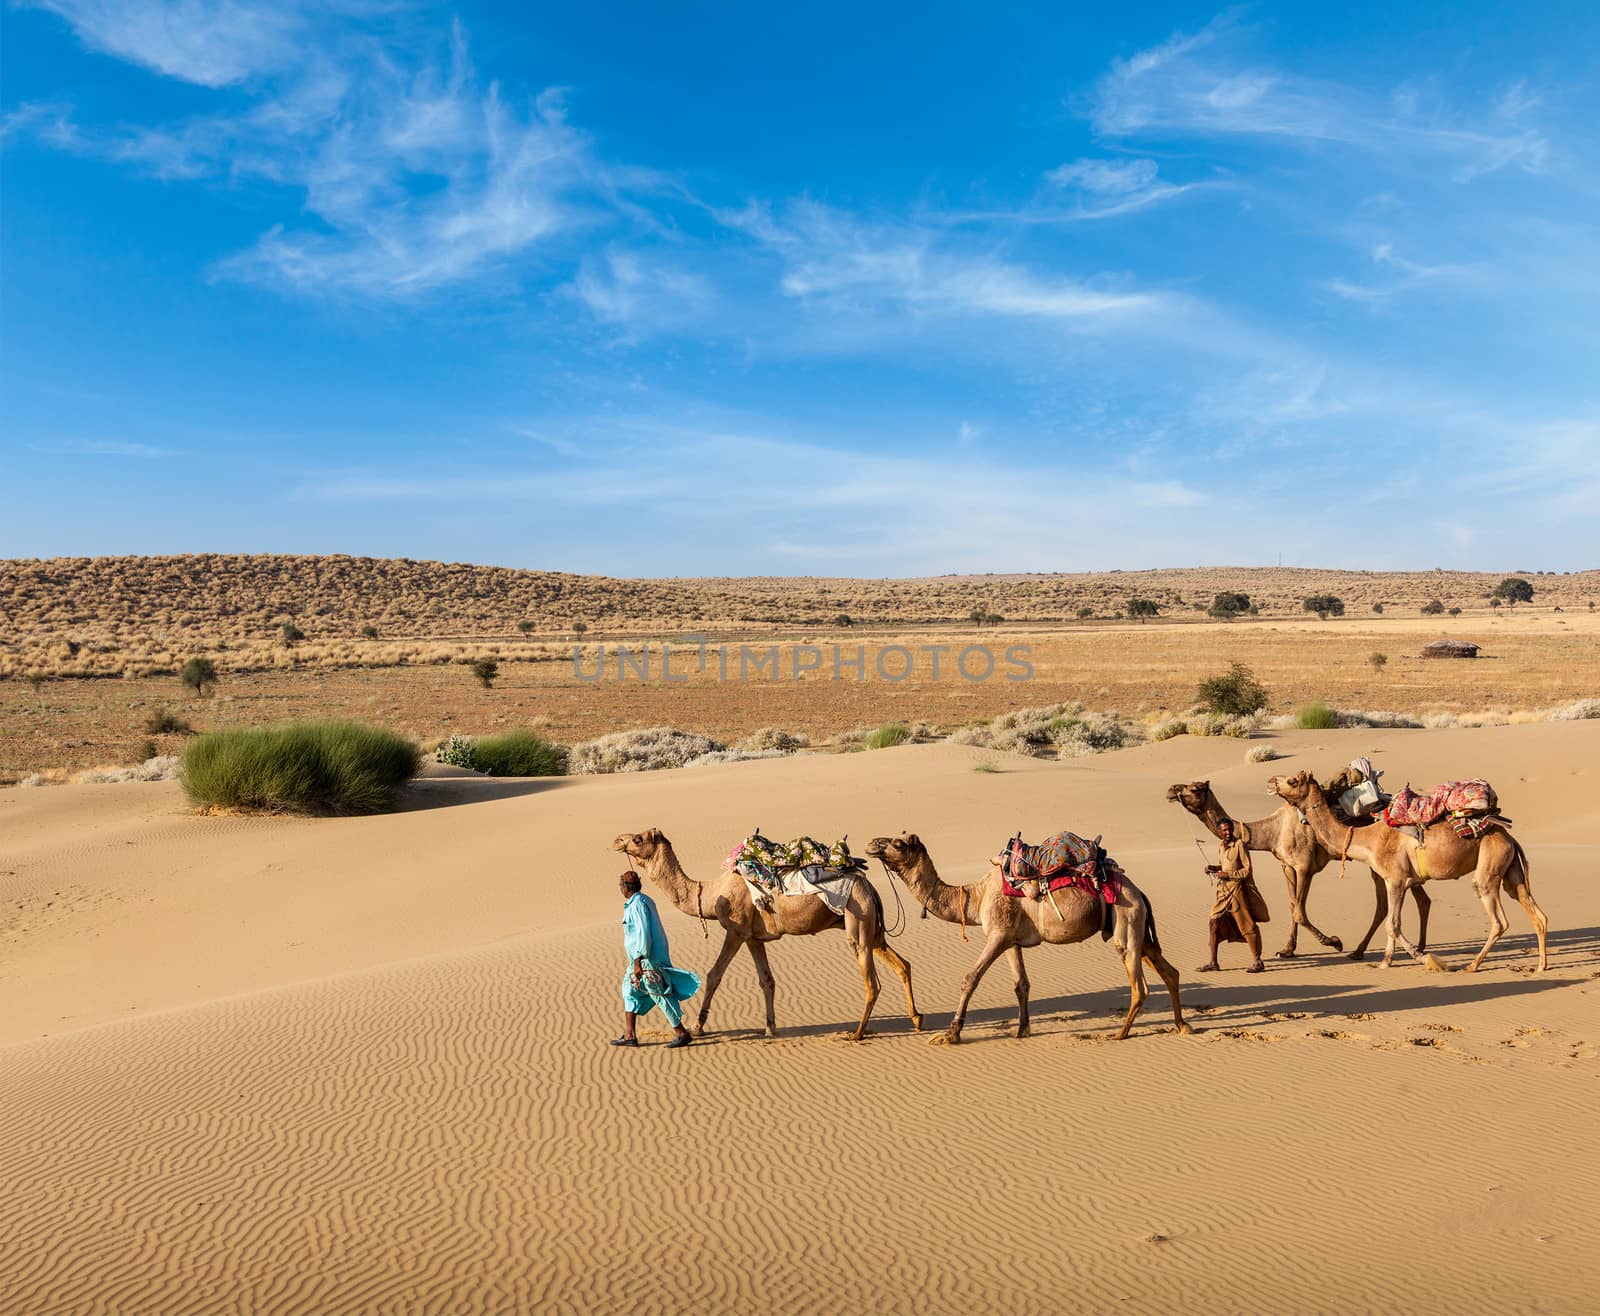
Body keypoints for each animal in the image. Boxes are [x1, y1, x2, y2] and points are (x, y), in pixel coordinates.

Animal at [608, 832, 921, 1043]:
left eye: (638, 839)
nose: (617, 840)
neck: (710, 893)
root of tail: (868, 886)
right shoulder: (754, 937)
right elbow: (767, 980)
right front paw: (770, 1028)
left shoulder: (735, 931)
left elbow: (714, 975)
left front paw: (698, 1027)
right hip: (871, 928)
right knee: (902, 964)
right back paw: (916, 1020)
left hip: (858, 919)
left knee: (872, 981)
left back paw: (857, 1033)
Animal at [864, 838, 1190, 1043]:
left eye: (897, 843)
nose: (871, 844)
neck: (976, 897)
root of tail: (1139, 892)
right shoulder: (1011, 940)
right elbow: (1021, 984)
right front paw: (1022, 1030)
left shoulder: (997, 934)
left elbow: (970, 978)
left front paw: (950, 1034)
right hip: (1139, 929)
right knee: (1169, 972)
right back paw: (1182, 1025)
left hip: (1126, 919)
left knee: (1140, 985)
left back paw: (1120, 1033)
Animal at [1158, 778, 1433, 960]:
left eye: (1194, 788)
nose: (1171, 790)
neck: (1273, 831)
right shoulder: (1287, 866)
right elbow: (1292, 906)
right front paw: (1287, 949)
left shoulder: (1304, 867)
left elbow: (1300, 911)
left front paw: (1333, 941)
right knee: (1418, 900)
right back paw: (1401, 948)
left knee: (1390, 903)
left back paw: (1372, 950)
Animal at [1267, 768, 1542, 973]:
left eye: (1292, 780)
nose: (1270, 781)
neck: (1367, 839)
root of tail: (1509, 837)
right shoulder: (1397, 880)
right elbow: (1391, 920)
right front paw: (1386, 961)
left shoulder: (1396, 879)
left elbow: (1393, 924)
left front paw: (1425, 959)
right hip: (1511, 871)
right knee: (1536, 912)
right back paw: (1540, 966)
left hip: (1489, 868)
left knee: (1498, 920)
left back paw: (1472, 965)